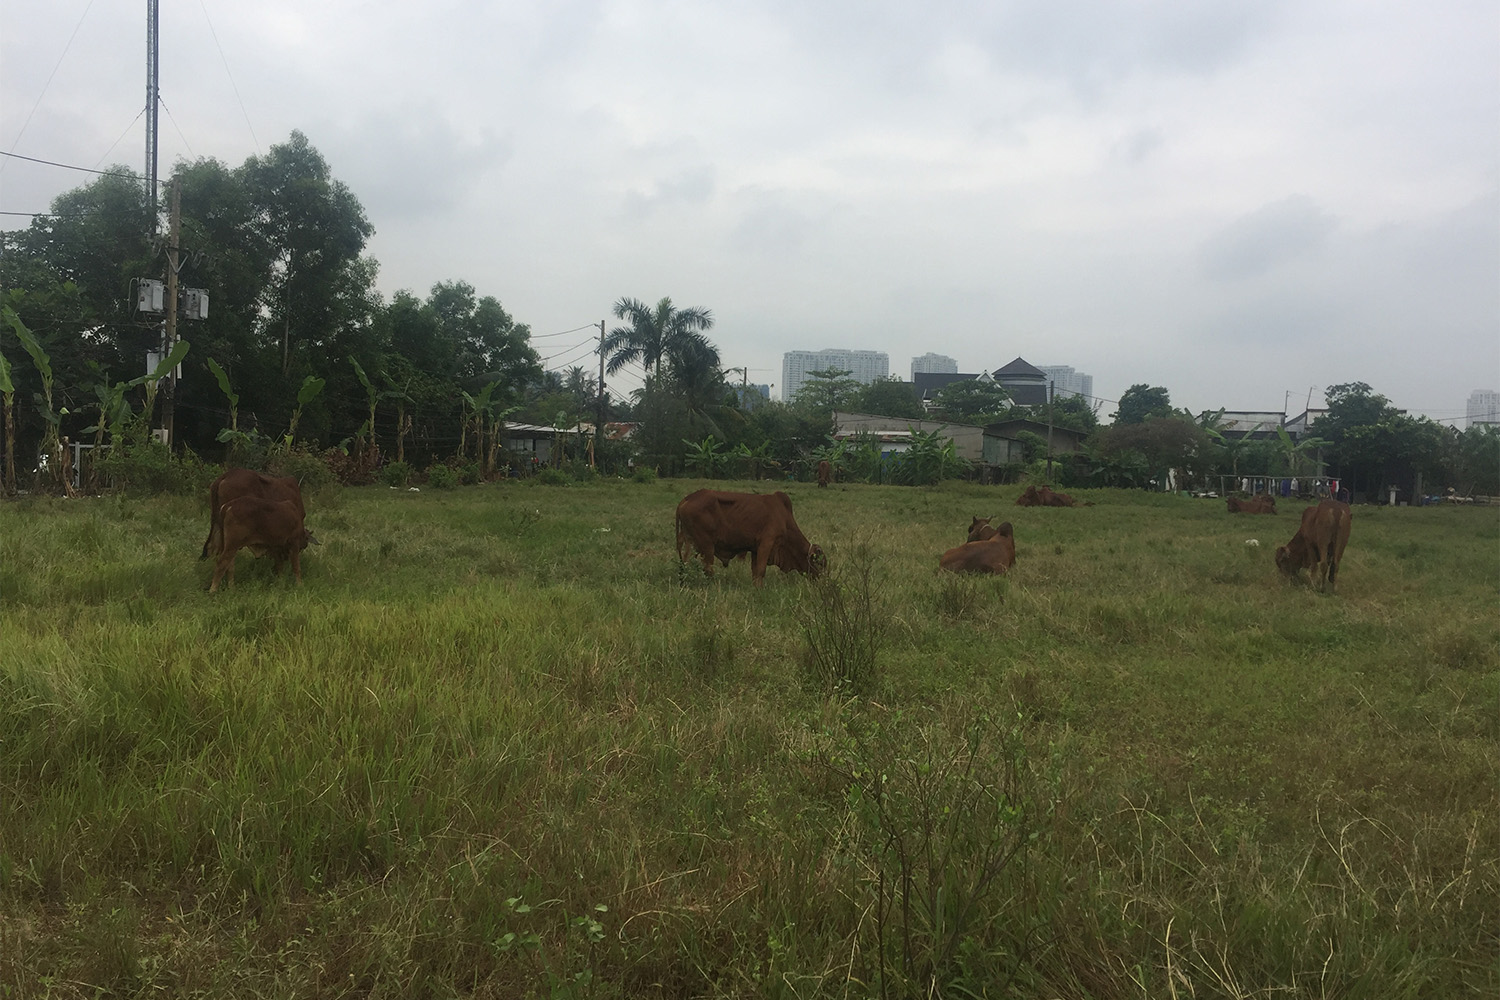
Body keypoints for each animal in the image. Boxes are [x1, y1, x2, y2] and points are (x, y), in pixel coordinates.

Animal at [678, 485, 828, 581]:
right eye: (820, 563)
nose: (822, 581)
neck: (785, 519)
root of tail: (688, 498)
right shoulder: (767, 543)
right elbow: (761, 571)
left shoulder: (756, 549)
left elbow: (755, 572)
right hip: (707, 546)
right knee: (707, 567)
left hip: (691, 543)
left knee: (685, 563)